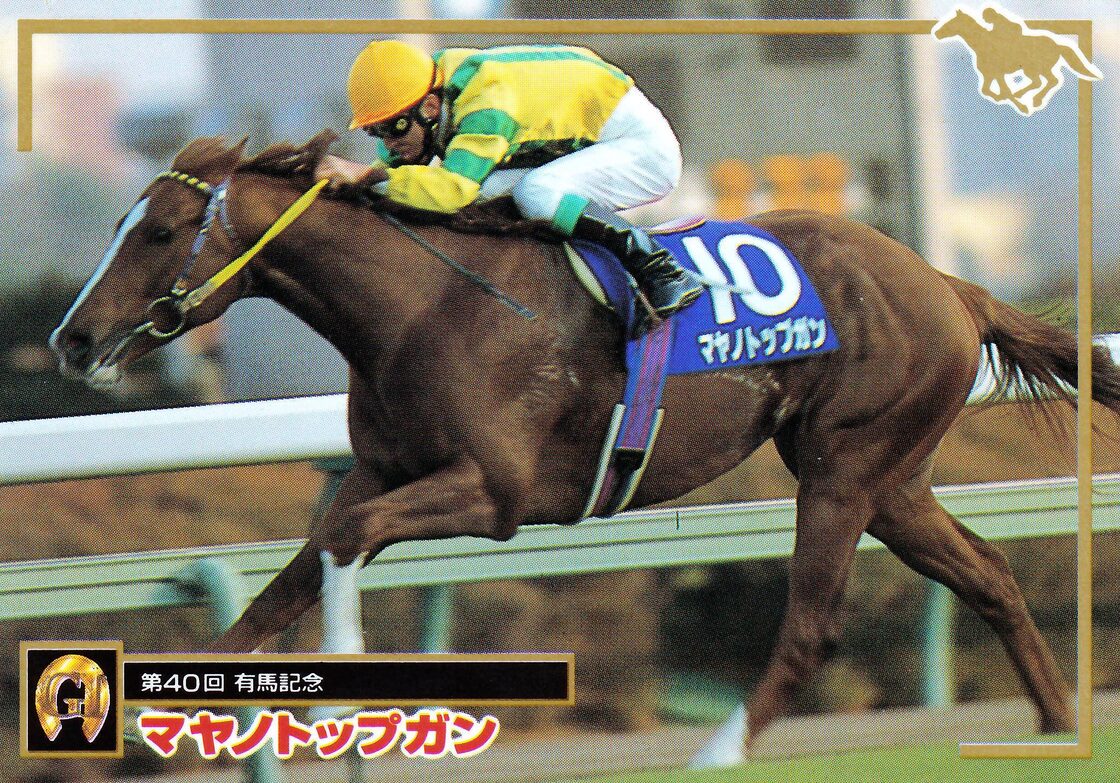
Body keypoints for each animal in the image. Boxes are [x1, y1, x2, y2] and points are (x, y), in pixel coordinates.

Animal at [49, 130, 1120, 743]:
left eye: (159, 232)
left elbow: (342, 547)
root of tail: (948, 283)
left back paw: (719, 753)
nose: (73, 340)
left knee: (812, 626)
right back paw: (1056, 720)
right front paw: (166, 712)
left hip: (844, 472)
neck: (422, 302)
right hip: (891, 481)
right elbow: (285, 582)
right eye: (120, 222)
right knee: (988, 574)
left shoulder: (495, 493)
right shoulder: (379, 472)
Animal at [932, 7, 1102, 116]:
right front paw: (1004, 98)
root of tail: (1057, 44)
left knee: (1045, 81)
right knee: (1047, 81)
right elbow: (987, 91)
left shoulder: (998, 74)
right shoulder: (989, 75)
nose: (937, 33)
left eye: (951, 22)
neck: (983, 45)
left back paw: (1030, 98)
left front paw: (1022, 106)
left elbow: (1005, 91)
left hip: (1033, 69)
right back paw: (1030, 97)